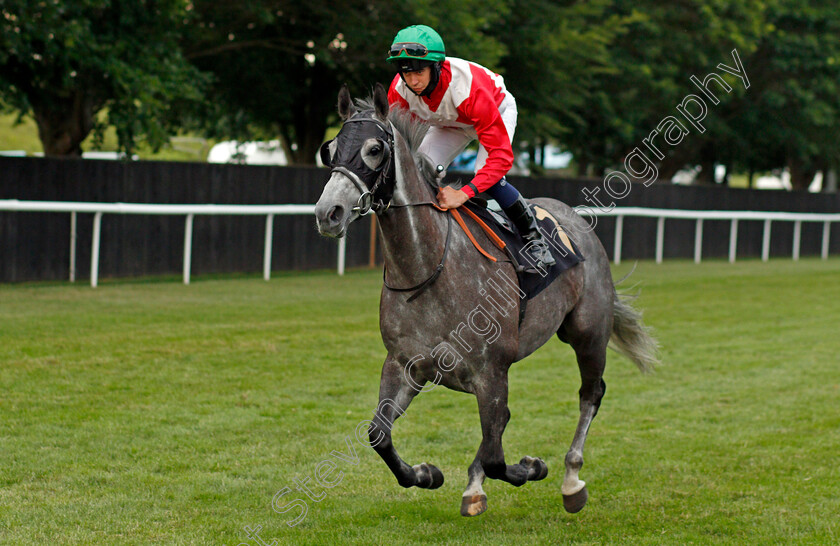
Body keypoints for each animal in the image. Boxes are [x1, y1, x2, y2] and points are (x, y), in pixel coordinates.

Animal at [312, 83, 660, 516]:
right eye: (329, 149)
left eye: (375, 149)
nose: (328, 213)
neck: (428, 271)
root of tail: (574, 218)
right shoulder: (405, 364)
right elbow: (379, 434)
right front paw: (427, 474)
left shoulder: (491, 371)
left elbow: (497, 456)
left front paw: (532, 467)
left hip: (588, 333)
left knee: (589, 395)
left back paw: (571, 479)